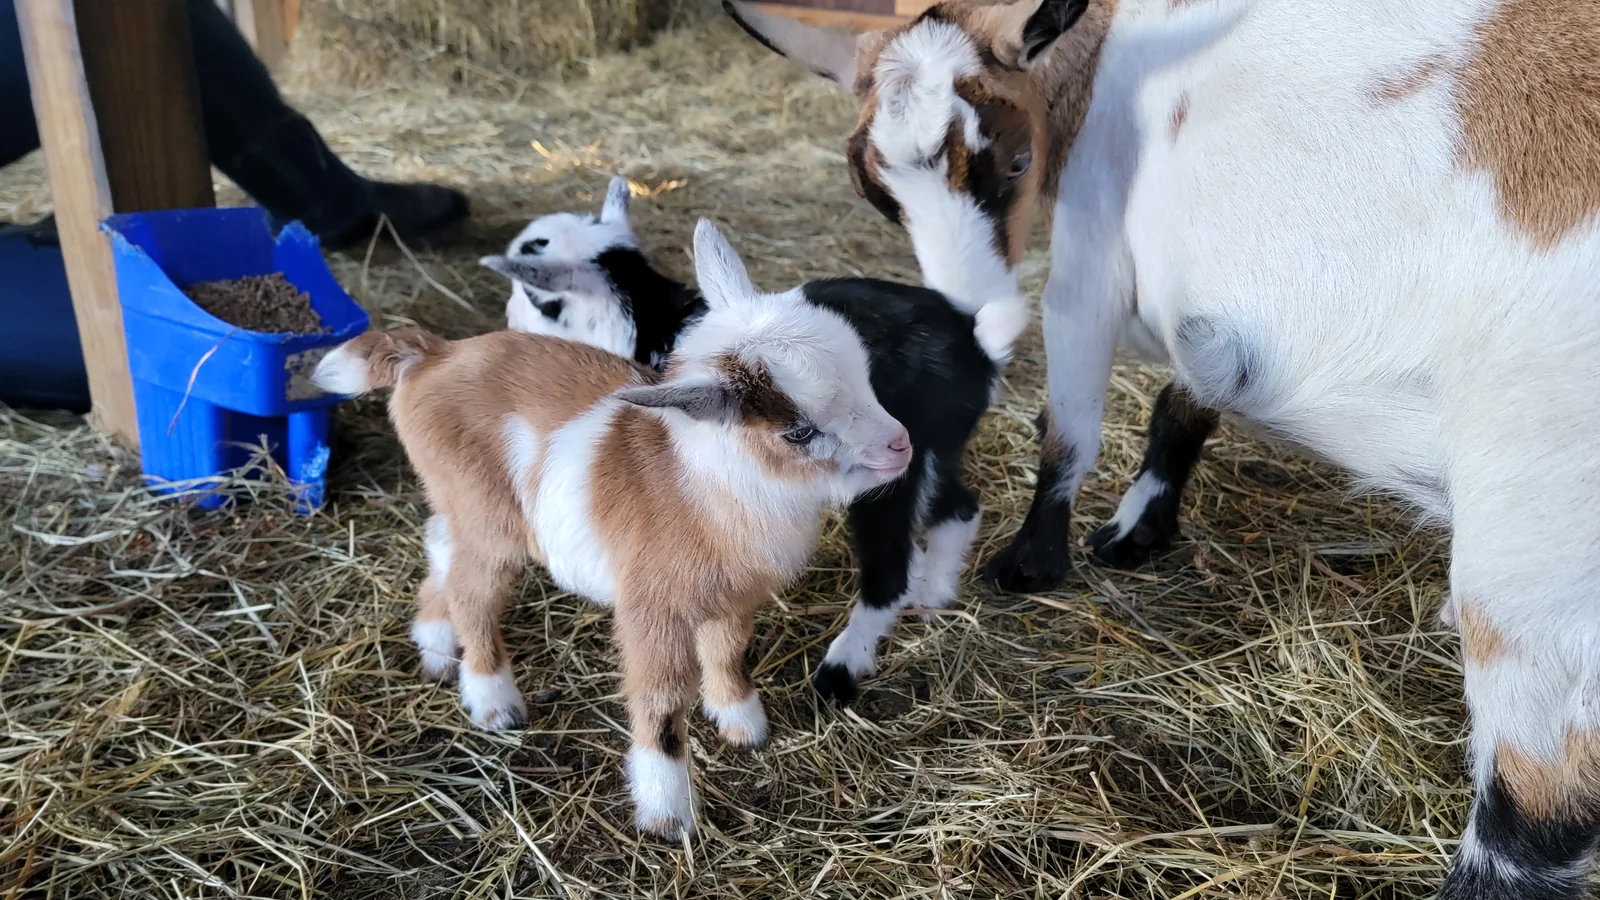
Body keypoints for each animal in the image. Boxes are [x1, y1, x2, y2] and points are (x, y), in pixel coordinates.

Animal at [312, 220, 913, 838]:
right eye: (799, 432)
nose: (902, 446)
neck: (705, 480)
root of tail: (433, 354)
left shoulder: (731, 597)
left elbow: (727, 652)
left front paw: (742, 723)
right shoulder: (653, 611)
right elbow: (662, 701)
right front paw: (668, 814)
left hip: (461, 502)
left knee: (441, 545)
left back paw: (434, 644)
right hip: (489, 517)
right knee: (472, 591)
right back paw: (492, 699)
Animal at [483, 217, 1030, 707]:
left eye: (538, 296)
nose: (507, 322)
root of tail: (978, 342)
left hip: (896, 471)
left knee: (892, 562)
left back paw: (842, 665)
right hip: (934, 449)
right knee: (959, 508)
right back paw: (934, 595)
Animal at [728, 0, 1600, 895]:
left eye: (1012, 161)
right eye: (878, 193)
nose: (969, 315)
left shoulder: (1088, 263)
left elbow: (1069, 428)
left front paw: (1034, 560)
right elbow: (1182, 401)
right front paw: (1140, 528)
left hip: (1539, 516)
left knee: (1536, 807)